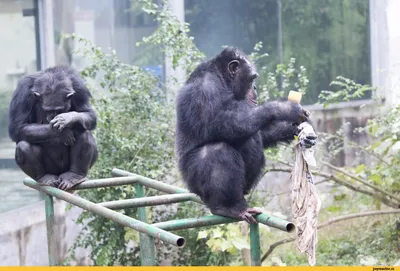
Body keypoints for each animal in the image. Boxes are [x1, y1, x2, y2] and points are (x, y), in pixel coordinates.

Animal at [175, 47, 316, 225]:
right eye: (252, 78)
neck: (222, 79)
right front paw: (285, 107)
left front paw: (300, 133)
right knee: (217, 151)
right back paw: (228, 207)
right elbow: (223, 121)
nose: (255, 87)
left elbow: (260, 133)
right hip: (192, 182)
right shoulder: (205, 89)